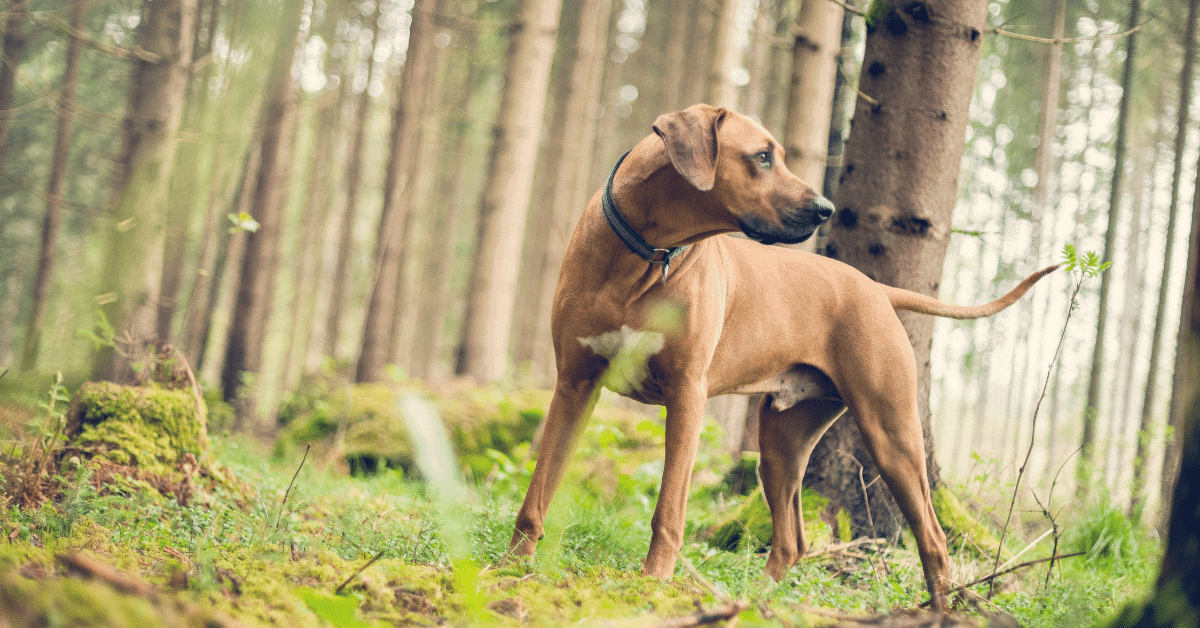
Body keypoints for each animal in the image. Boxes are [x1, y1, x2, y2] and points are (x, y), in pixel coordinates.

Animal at [506, 103, 1051, 609]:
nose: (826, 208)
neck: (644, 252)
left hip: (891, 430)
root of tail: (877, 289)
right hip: (781, 442)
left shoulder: (687, 396)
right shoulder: (574, 385)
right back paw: (755, 601)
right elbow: (538, 490)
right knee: (793, 541)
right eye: (763, 157)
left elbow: (669, 512)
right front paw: (513, 567)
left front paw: (652, 585)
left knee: (933, 538)